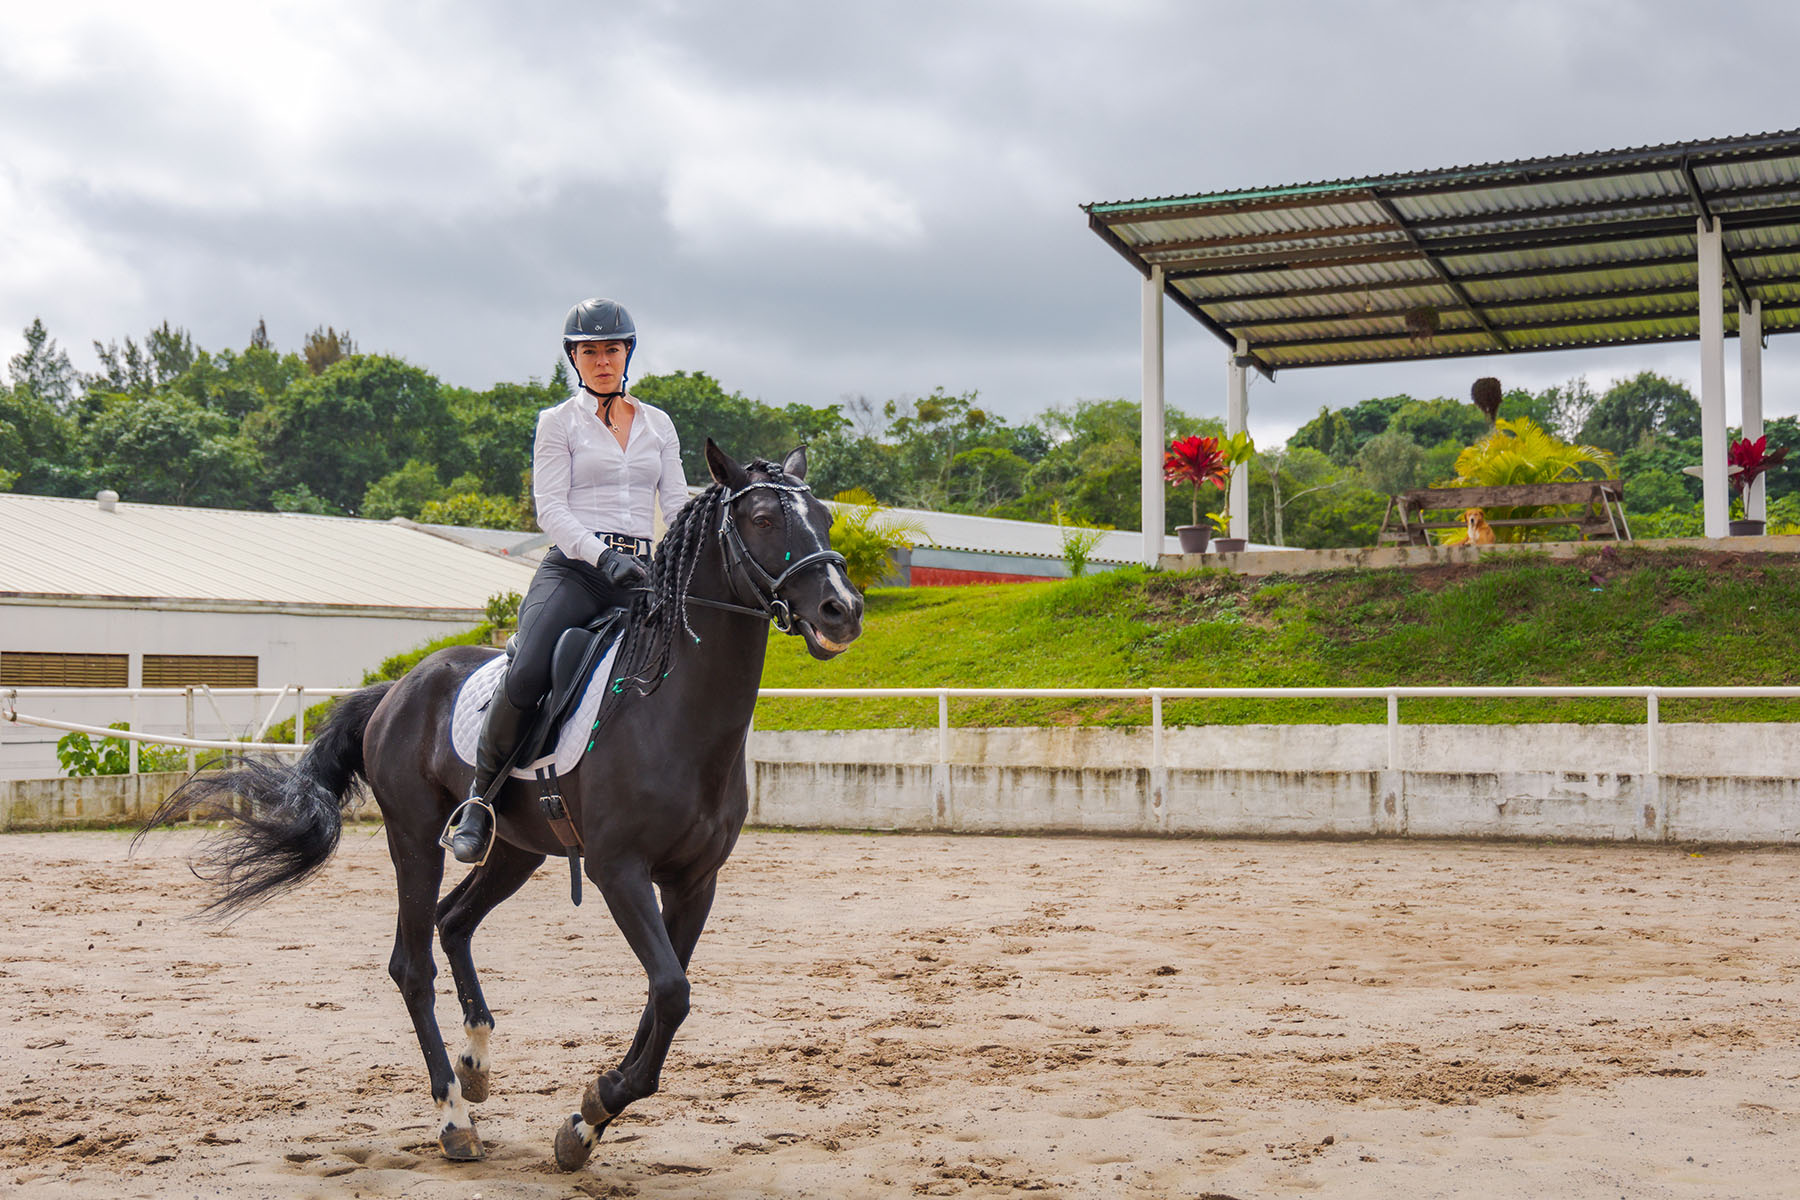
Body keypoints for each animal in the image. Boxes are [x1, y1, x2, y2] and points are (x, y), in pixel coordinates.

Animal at [144, 444, 860, 1173]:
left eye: (826, 517)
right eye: (765, 518)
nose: (843, 609)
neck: (669, 708)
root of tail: (398, 687)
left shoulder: (695, 881)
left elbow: (666, 999)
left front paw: (585, 1122)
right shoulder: (618, 871)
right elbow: (669, 991)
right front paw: (595, 1105)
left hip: (515, 850)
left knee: (453, 921)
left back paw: (476, 1062)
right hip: (415, 838)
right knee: (413, 965)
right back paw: (454, 1117)